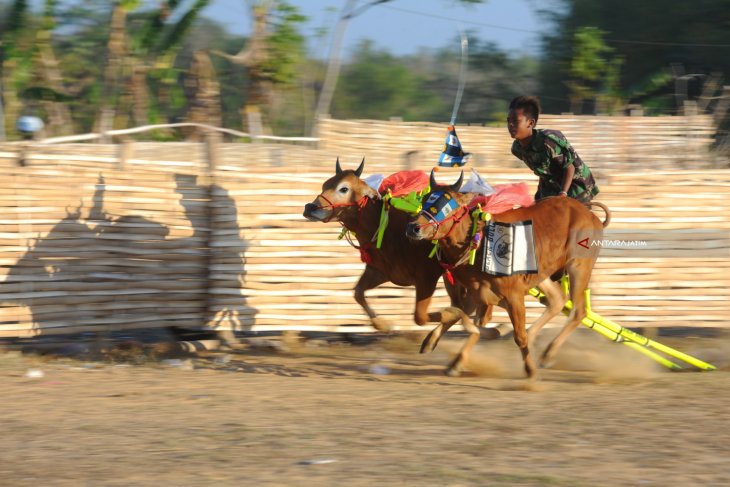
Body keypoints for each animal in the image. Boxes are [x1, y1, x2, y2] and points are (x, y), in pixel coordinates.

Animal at [300, 160, 494, 344]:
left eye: (344, 188)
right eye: (325, 184)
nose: (310, 208)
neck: (389, 229)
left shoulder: (427, 279)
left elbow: (421, 317)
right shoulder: (380, 272)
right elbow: (358, 293)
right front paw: (383, 325)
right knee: (465, 303)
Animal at [404, 172, 608, 382]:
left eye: (448, 204)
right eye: (426, 199)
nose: (413, 227)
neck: (479, 241)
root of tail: (592, 216)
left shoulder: (513, 296)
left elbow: (515, 334)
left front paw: (530, 369)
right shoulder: (477, 292)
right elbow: (461, 316)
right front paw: (441, 348)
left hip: (579, 266)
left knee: (578, 311)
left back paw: (547, 353)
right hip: (542, 275)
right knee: (556, 300)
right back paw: (534, 338)